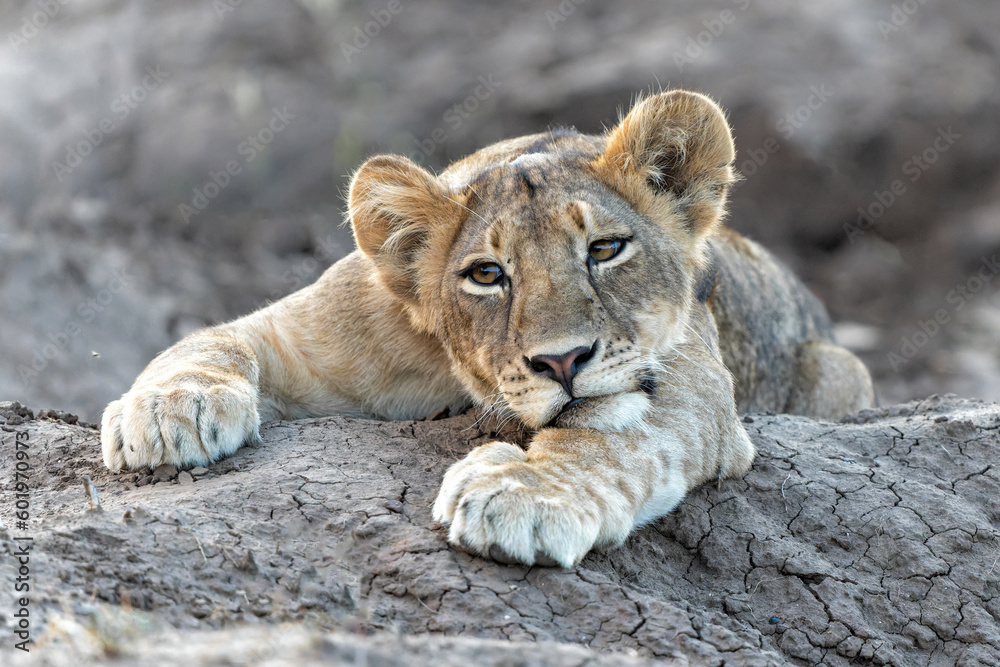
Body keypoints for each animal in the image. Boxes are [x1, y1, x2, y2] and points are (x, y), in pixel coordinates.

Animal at [101, 90, 874, 567]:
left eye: (605, 249)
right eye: (486, 274)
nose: (563, 362)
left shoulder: (692, 381)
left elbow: (609, 437)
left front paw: (526, 492)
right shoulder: (308, 327)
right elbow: (211, 338)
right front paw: (171, 409)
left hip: (842, 369)